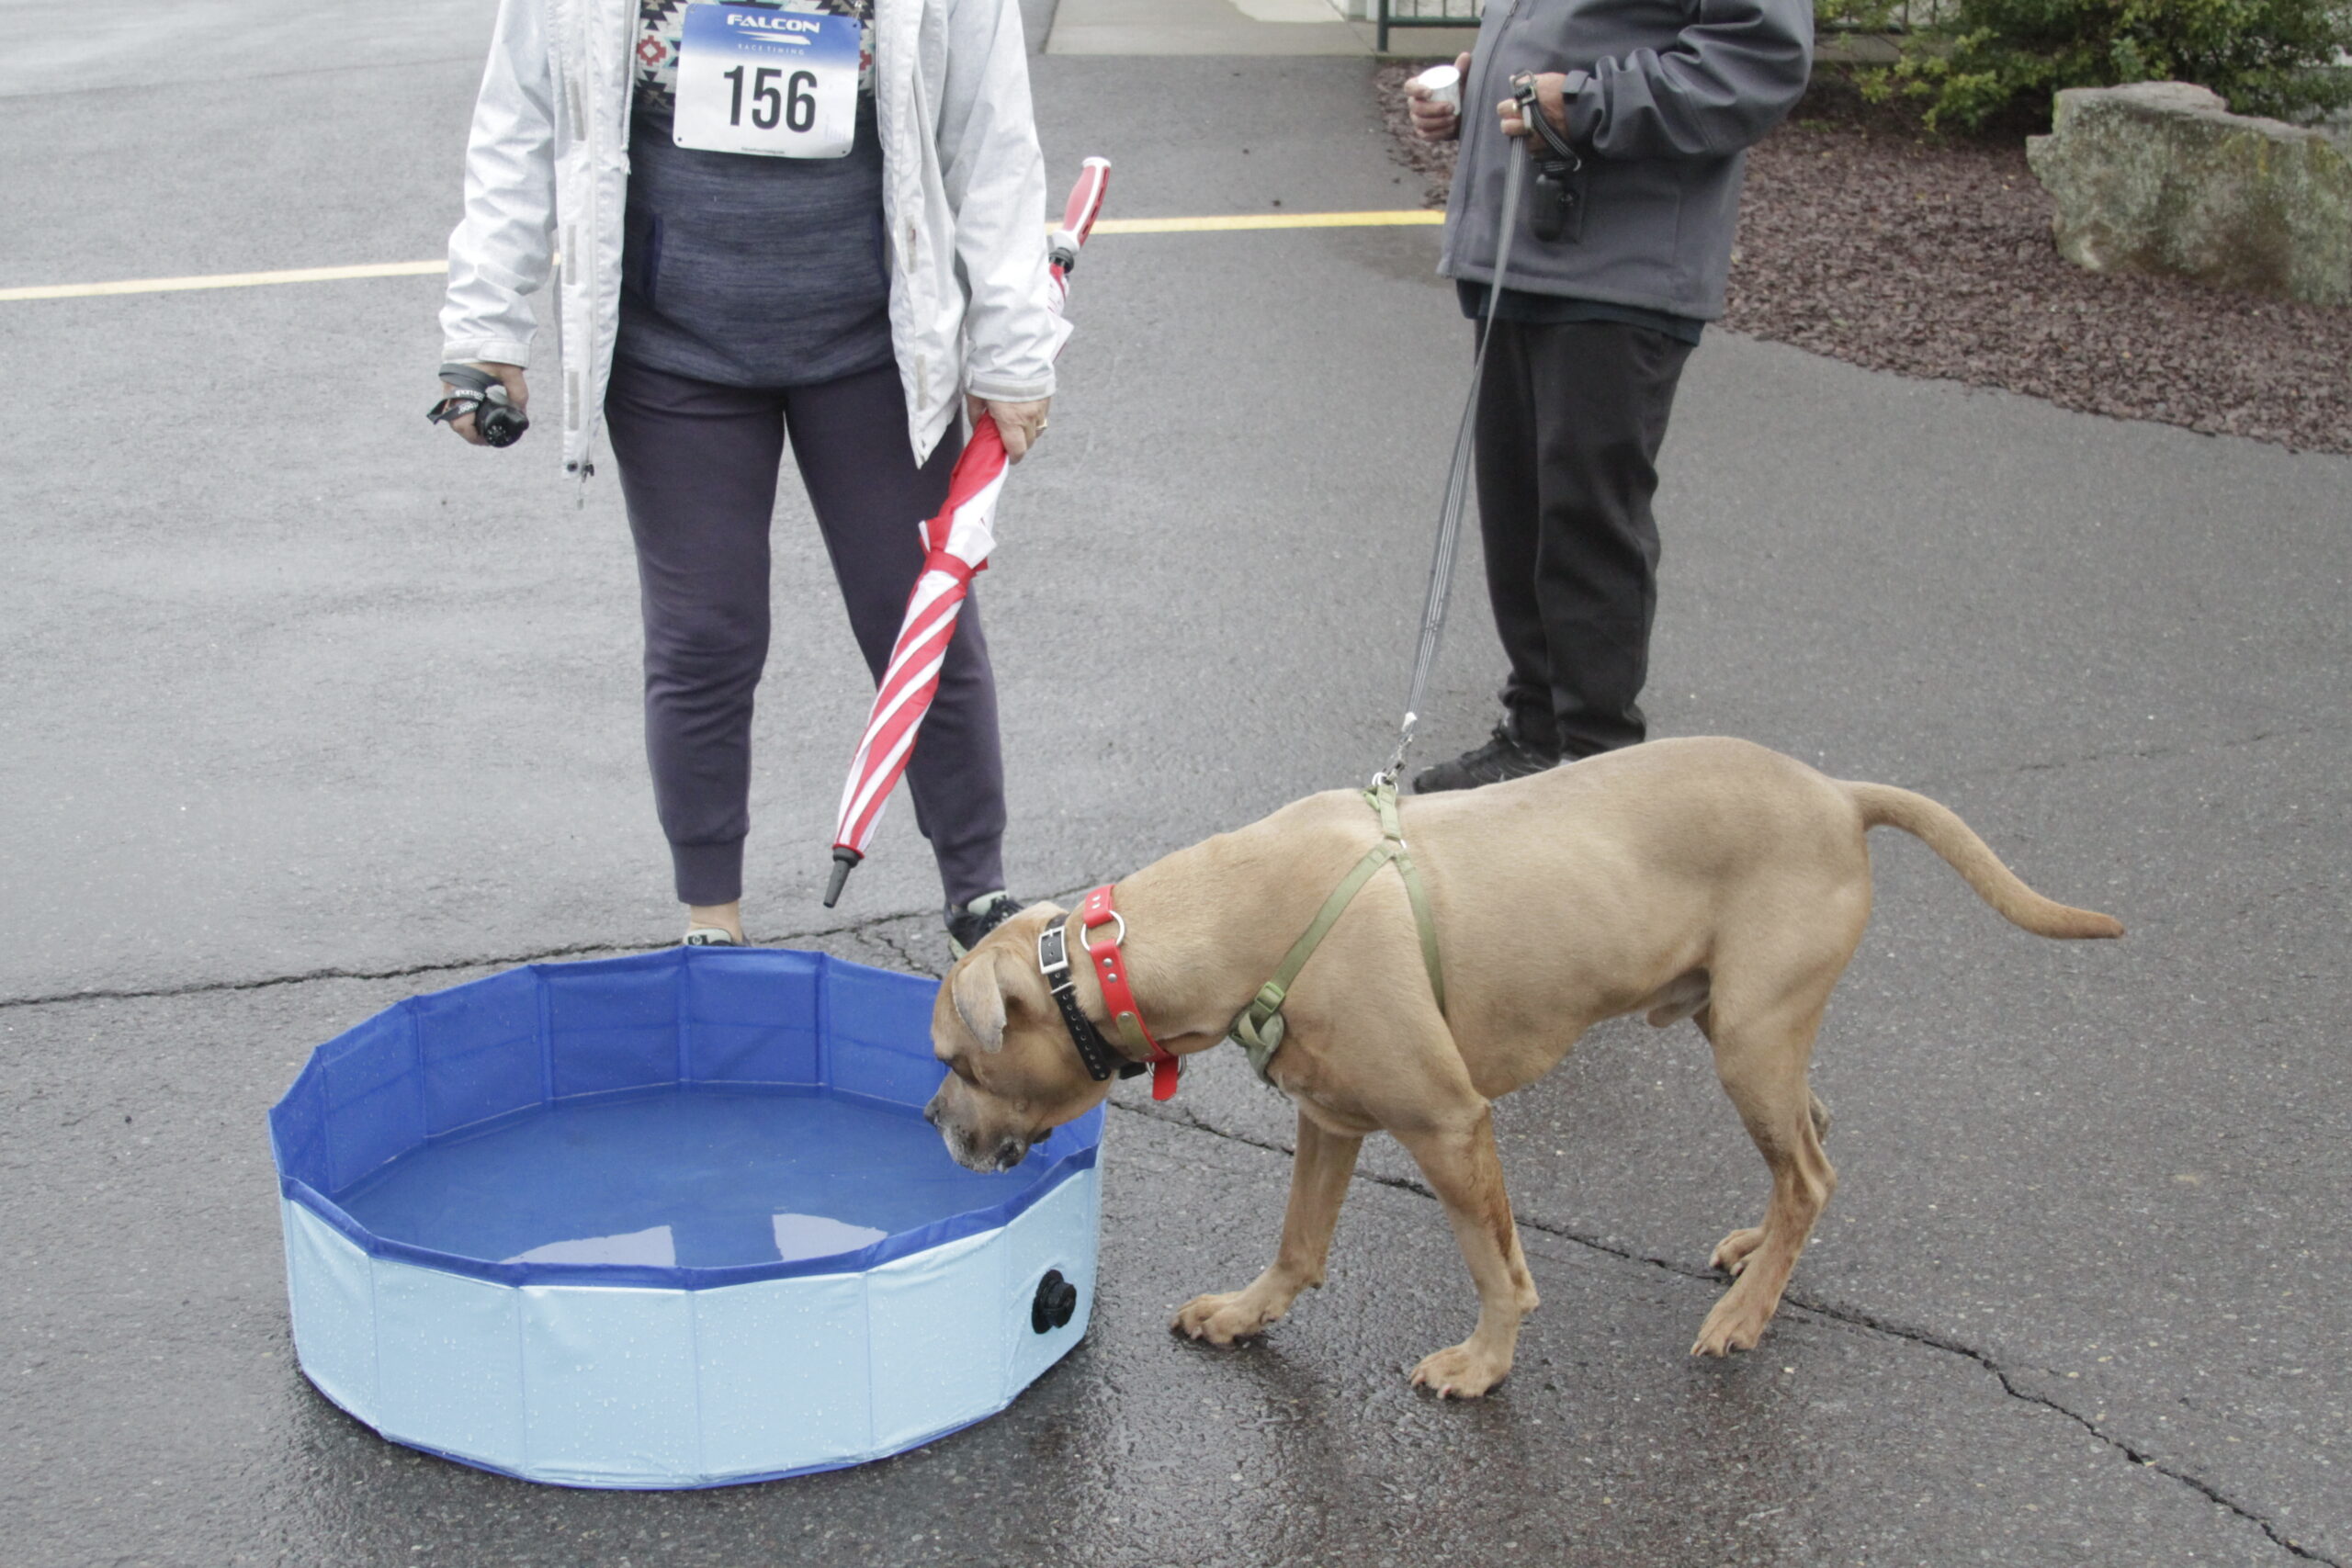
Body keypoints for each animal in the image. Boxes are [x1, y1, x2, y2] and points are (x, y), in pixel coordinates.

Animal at [924, 737, 2121, 1398]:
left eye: (951, 1057)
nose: (932, 1118)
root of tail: (1836, 792)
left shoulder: (1449, 1125)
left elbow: (1496, 1266)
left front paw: (1483, 1364)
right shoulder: (1332, 1121)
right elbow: (1299, 1243)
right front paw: (1247, 1311)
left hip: (1749, 1039)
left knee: (1811, 1172)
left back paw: (1745, 1315)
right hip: (1746, 1029)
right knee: (1809, 1146)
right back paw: (1758, 1256)